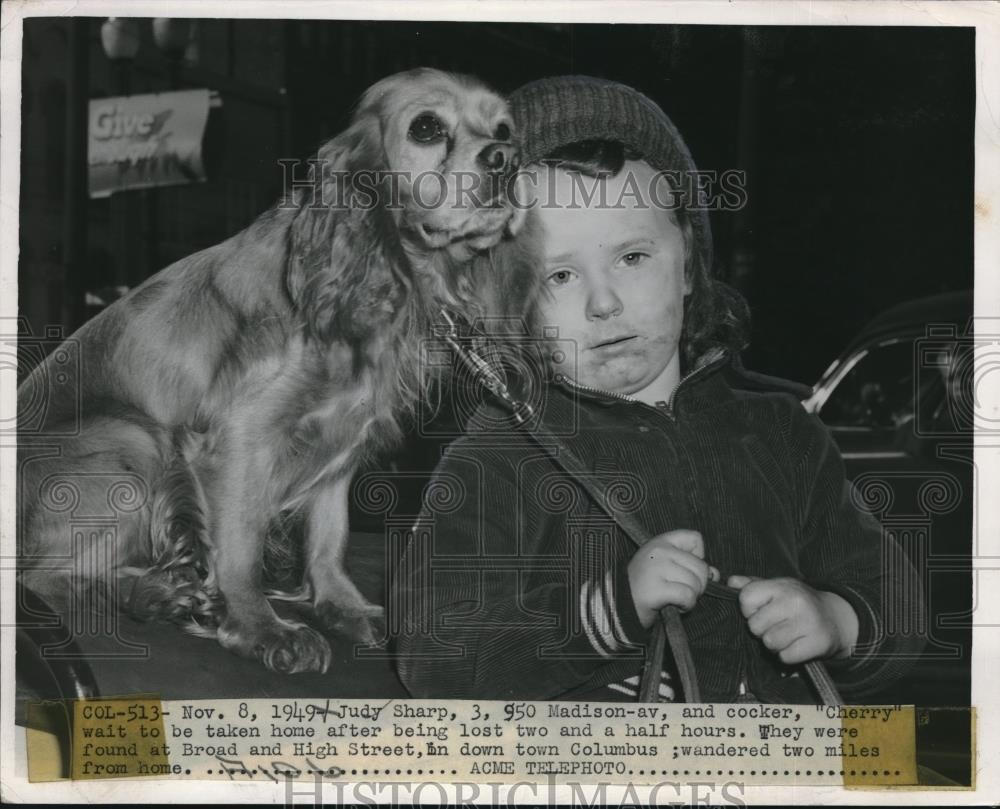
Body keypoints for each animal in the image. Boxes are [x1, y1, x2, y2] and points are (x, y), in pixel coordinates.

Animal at [17, 68, 540, 676]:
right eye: (427, 128)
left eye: (504, 129)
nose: (507, 157)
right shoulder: (239, 437)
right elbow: (240, 546)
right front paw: (260, 628)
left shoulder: (343, 436)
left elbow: (329, 538)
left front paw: (343, 608)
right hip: (135, 442)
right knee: (48, 580)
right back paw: (156, 594)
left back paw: (168, 591)